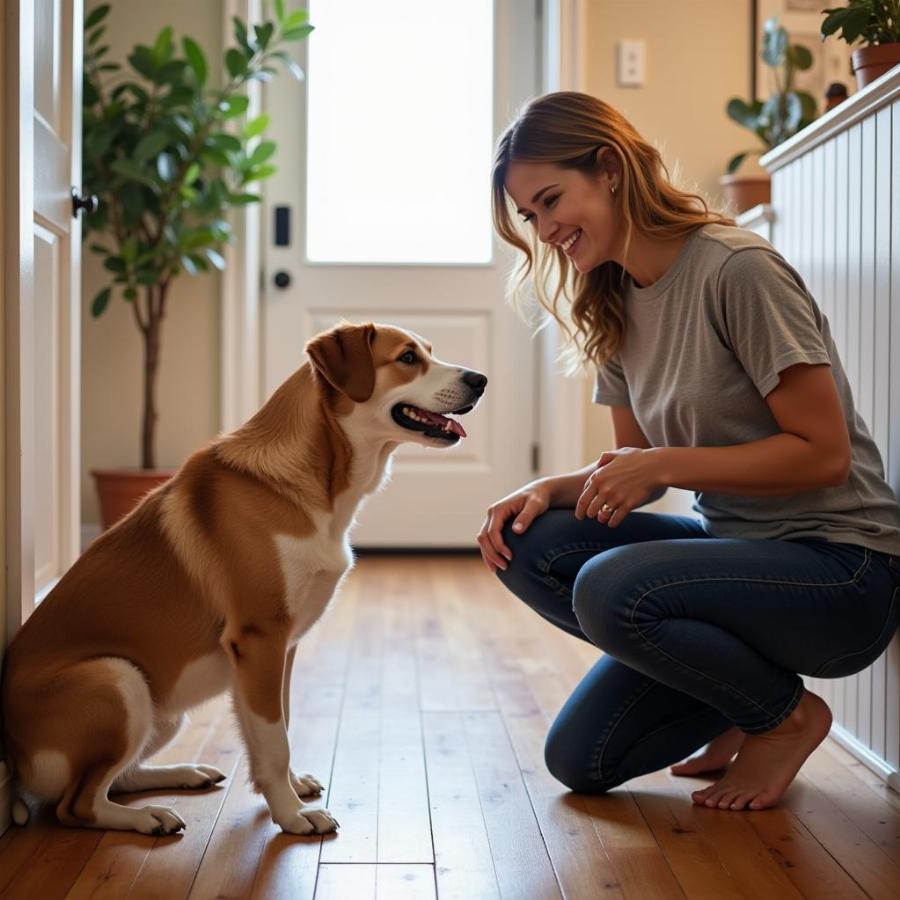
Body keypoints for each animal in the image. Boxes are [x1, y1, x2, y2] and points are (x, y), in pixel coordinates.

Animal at [1, 322, 486, 836]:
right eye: (409, 357)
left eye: (429, 351)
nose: (480, 380)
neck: (310, 484)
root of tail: (14, 759)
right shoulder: (259, 641)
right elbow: (275, 743)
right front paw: (292, 816)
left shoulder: (282, 650)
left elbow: (279, 728)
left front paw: (289, 793)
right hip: (119, 679)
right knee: (78, 805)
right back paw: (149, 817)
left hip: (161, 710)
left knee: (121, 777)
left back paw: (184, 774)